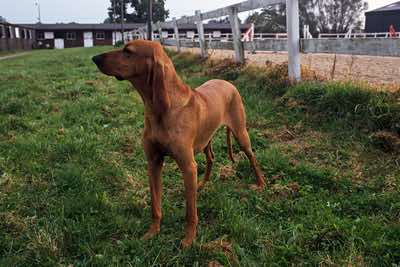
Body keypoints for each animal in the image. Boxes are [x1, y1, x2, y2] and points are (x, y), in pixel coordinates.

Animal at [93, 40, 266, 249]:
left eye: (128, 51)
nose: (95, 58)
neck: (160, 110)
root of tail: (227, 82)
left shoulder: (187, 166)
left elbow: (190, 211)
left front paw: (188, 240)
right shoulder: (153, 163)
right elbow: (155, 205)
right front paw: (152, 232)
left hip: (241, 134)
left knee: (252, 157)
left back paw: (260, 183)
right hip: (205, 139)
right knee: (211, 158)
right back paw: (202, 184)